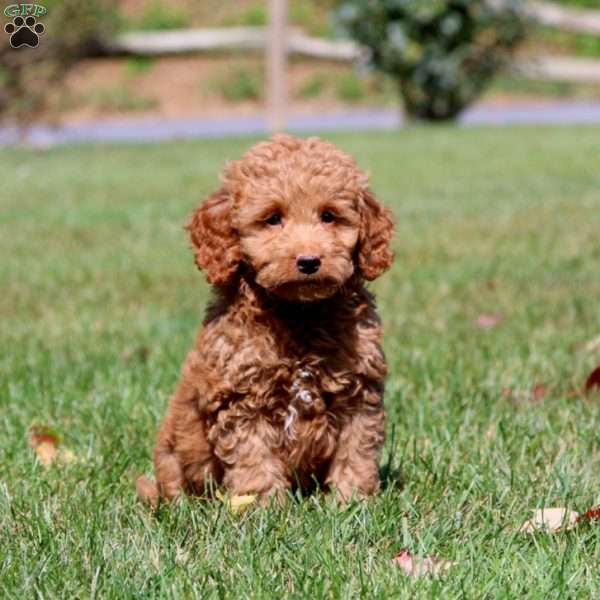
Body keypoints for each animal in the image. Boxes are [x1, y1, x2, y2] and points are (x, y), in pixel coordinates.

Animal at [138, 134, 396, 504]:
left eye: (329, 216)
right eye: (273, 218)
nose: (309, 261)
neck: (298, 314)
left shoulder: (360, 392)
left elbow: (356, 452)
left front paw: (352, 501)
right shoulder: (242, 400)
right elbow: (254, 460)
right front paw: (262, 506)